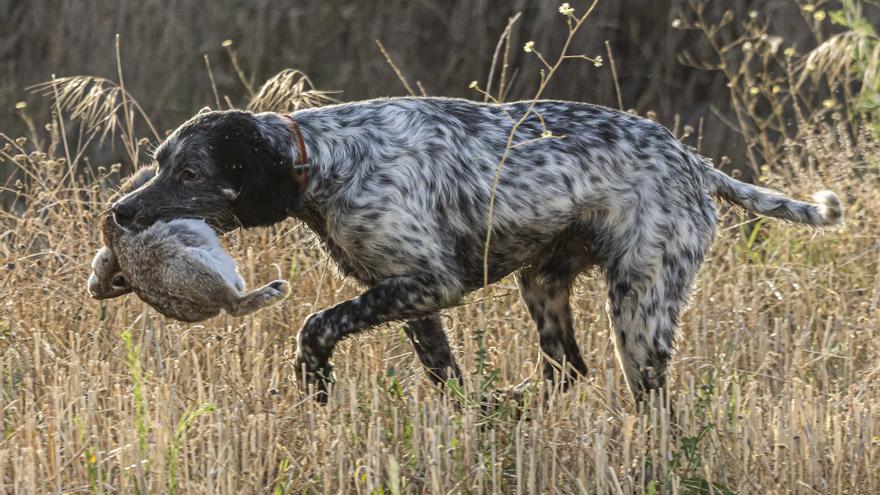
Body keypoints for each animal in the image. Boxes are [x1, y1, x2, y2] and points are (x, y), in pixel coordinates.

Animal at [113, 97, 844, 404]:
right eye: (159, 161)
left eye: (190, 172)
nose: (118, 213)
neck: (326, 159)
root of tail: (694, 162)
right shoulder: (409, 297)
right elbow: (447, 378)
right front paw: (471, 419)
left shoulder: (430, 283)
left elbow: (315, 323)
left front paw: (314, 381)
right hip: (544, 283)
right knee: (565, 369)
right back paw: (514, 404)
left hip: (640, 308)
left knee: (645, 398)